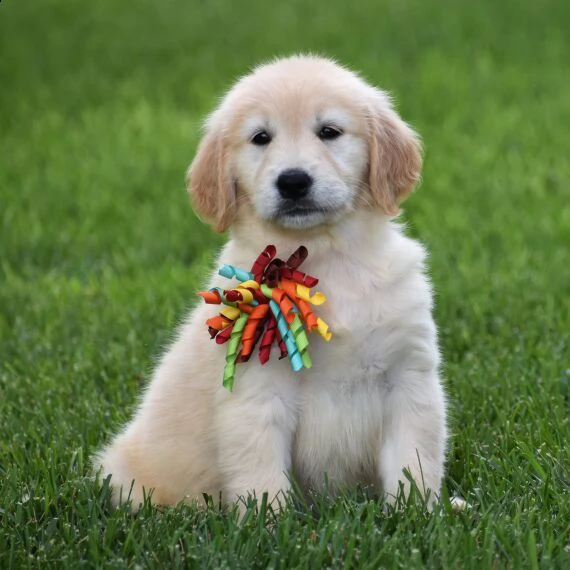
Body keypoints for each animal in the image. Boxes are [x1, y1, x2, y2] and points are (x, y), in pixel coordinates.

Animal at [93, 55, 446, 508]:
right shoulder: (257, 393)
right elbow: (261, 477)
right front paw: (272, 521)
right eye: (261, 138)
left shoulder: (409, 377)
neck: (325, 257)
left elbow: (414, 460)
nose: (293, 181)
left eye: (329, 131)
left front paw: (420, 512)